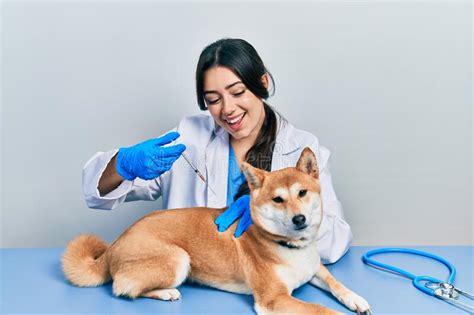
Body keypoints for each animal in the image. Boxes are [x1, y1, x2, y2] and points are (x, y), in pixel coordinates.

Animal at [63, 148, 372, 315]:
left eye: (303, 193)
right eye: (278, 199)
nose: (299, 219)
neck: (290, 247)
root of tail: (115, 244)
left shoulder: (315, 268)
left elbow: (335, 282)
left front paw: (355, 298)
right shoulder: (274, 299)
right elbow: (323, 310)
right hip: (178, 259)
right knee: (122, 288)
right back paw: (165, 293)